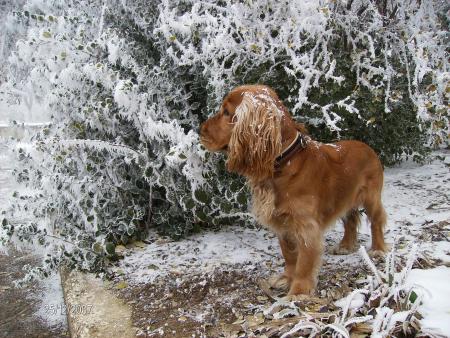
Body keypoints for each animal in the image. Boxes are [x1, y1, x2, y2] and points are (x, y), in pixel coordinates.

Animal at [200, 85, 386, 296]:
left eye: (226, 112)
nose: (200, 130)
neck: (283, 162)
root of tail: (367, 146)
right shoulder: (283, 222)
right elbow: (289, 255)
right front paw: (286, 279)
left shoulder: (306, 226)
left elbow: (304, 261)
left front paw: (298, 291)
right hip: (345, 196)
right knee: (350, 219)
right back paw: (346, 246)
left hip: (371, 197)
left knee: (376, 220)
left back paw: (378, 249)